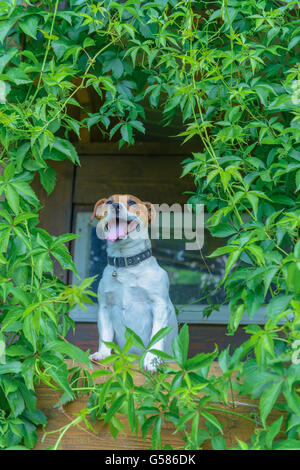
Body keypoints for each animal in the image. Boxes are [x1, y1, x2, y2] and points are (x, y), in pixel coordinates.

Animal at [88, 194, 178, 370]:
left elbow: (156, 336)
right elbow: (105, 335)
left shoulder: (159, 305)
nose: (115, 205)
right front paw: (103, 354)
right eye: (109, 201)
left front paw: (152, 359)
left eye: (131, 202)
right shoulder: (105, 307)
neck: (126, 265)